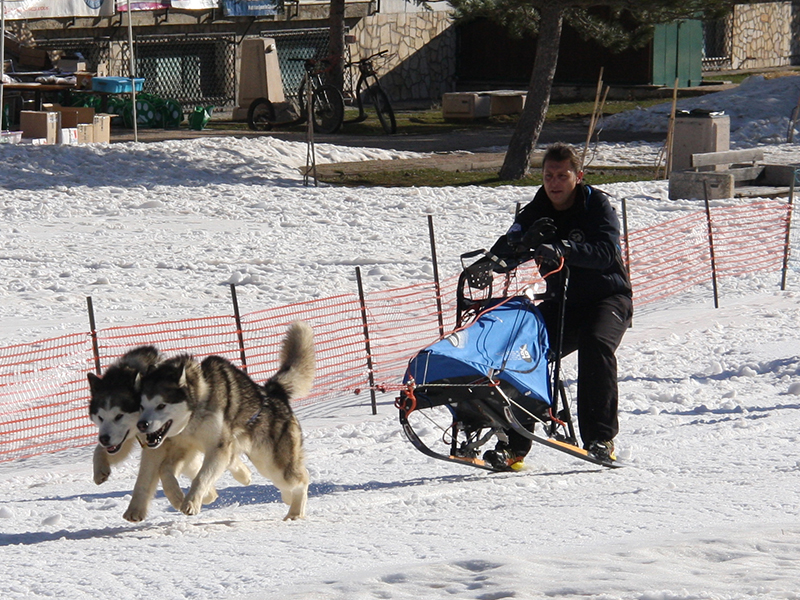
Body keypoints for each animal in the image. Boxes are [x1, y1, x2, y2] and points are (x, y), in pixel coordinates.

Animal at [136, 324, 314, 520]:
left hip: (273, 464)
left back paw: (295, 512)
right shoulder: (183, 447)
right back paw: (286, 498)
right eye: (142, 406)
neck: (196, 411)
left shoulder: (218, 448)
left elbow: (201, 477)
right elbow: (165, 471)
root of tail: (274, 392)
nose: (141, 425)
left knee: (302, 479)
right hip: (265, 464)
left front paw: (191, 503)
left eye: (161, 405)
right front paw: (176, 497)